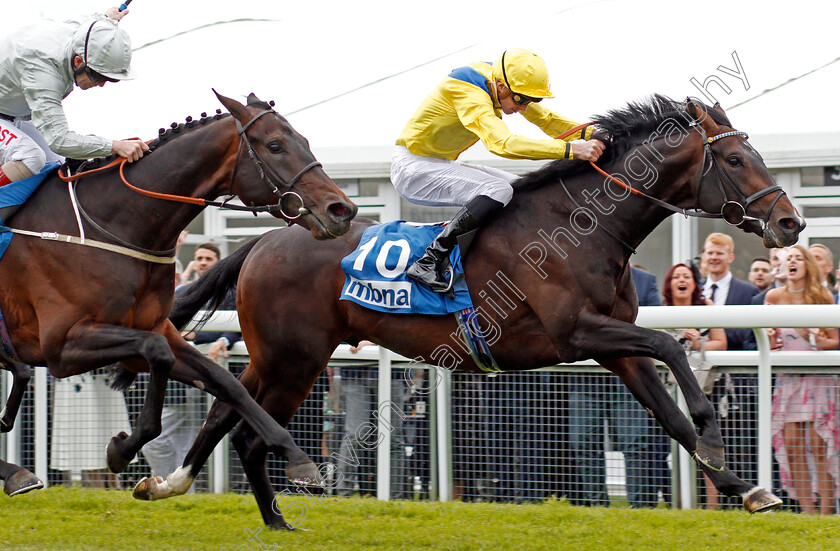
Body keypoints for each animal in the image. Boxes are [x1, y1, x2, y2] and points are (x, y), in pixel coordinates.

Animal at [0, 89, 356, 496]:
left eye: (305, 141)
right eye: (276, 145)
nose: (341, 209)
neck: (110, 225)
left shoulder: (154, 329)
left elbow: (223, 382)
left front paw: (295, 455)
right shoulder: (62, 345)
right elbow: (158, 354)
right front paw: (124, 447)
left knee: (19, 373)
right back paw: (16, 469)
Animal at [141, 96, 804, 532]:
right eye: (737, 160)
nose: (792, 221)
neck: (583, 226)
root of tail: (263, 240)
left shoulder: (614, 349)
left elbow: (667, 413)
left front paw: (745, 488)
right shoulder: (577, 333)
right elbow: (669, 348)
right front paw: (717, 438)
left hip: (289, 357)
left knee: (234, 418)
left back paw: (237, 506)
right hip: (291, 357)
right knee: (238, 420)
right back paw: (218, 493)